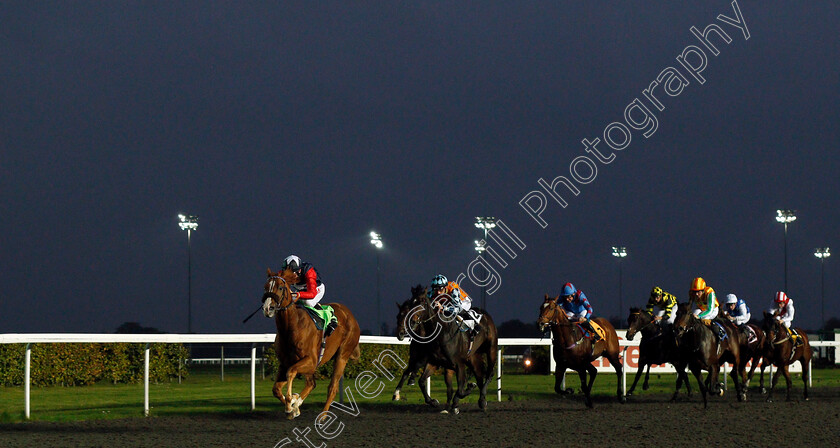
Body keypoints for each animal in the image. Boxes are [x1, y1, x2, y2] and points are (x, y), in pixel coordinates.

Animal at [262, 270, 360, 420]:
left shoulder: (311, 360)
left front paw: (291, 404)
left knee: (332, 388)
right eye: (266, 287)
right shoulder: (285, 363)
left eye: (280, 287)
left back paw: (323, 416)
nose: (268, 308)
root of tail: (350, 315)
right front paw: (293, 408)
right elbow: (276, 389)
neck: (292, 326)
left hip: (342, 356)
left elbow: (291, 373)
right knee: (311, 383)